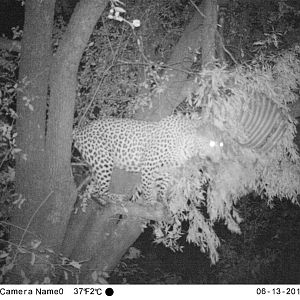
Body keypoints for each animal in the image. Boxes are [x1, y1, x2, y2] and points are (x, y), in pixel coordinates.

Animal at [72, 113, 224, 203]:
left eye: (221, 144)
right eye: (212, 143)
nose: (219, 158)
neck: (189, 147)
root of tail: (81, 130)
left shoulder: (167, 168)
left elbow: (163, 185)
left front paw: (162, 200)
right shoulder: (148, 164)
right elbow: (147, 185)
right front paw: (150, 200)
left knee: (94, 190)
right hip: (104, 160)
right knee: (101, 191)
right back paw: (116, 197)